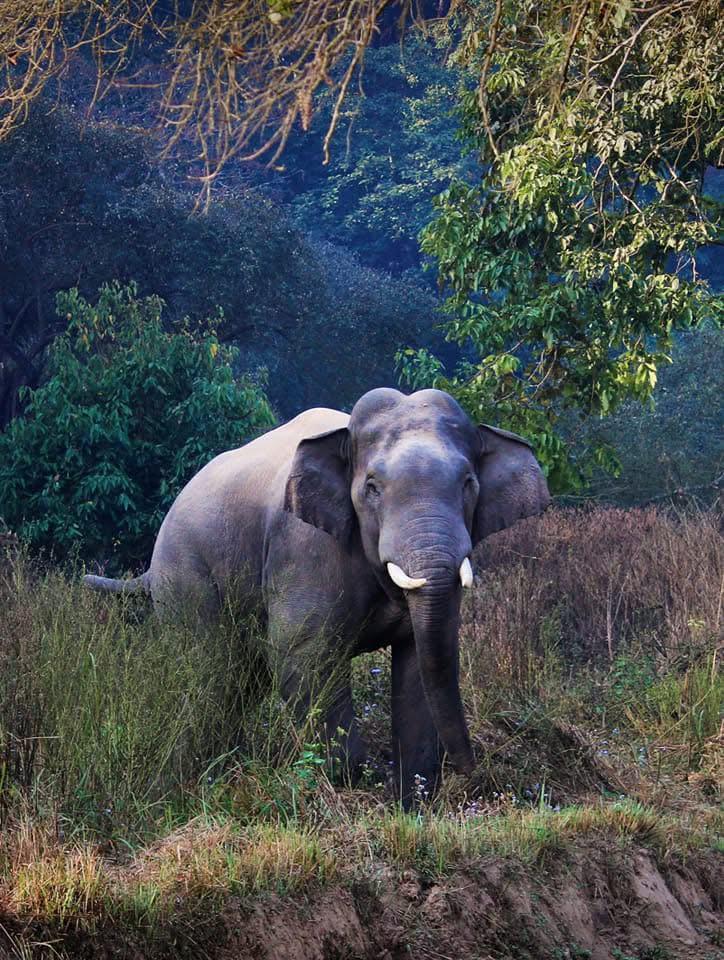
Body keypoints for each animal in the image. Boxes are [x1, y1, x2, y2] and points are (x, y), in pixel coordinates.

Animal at [85, 388, 550, 805]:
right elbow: (304, 652)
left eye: (469, 483)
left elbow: (420, 660)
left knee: (242, 679)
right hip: (186, 575)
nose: (472, 769)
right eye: (372, 487)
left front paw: (412, 803)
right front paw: (350, 784)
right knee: (209, 670)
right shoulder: (304, 546)